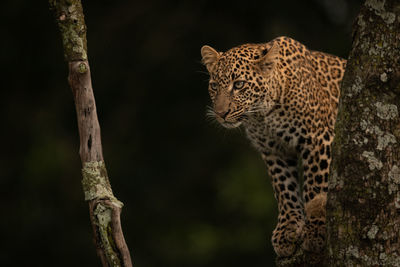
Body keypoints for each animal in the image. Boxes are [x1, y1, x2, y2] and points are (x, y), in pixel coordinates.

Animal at [200, 36, 346, 258]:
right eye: (214, 86)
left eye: (239, 84)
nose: (220, 113)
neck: (262, 116)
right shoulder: (273, 150)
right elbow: (284, 188)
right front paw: (287, 230)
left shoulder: (319, 139)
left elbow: (315, 186)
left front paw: (316, 229)